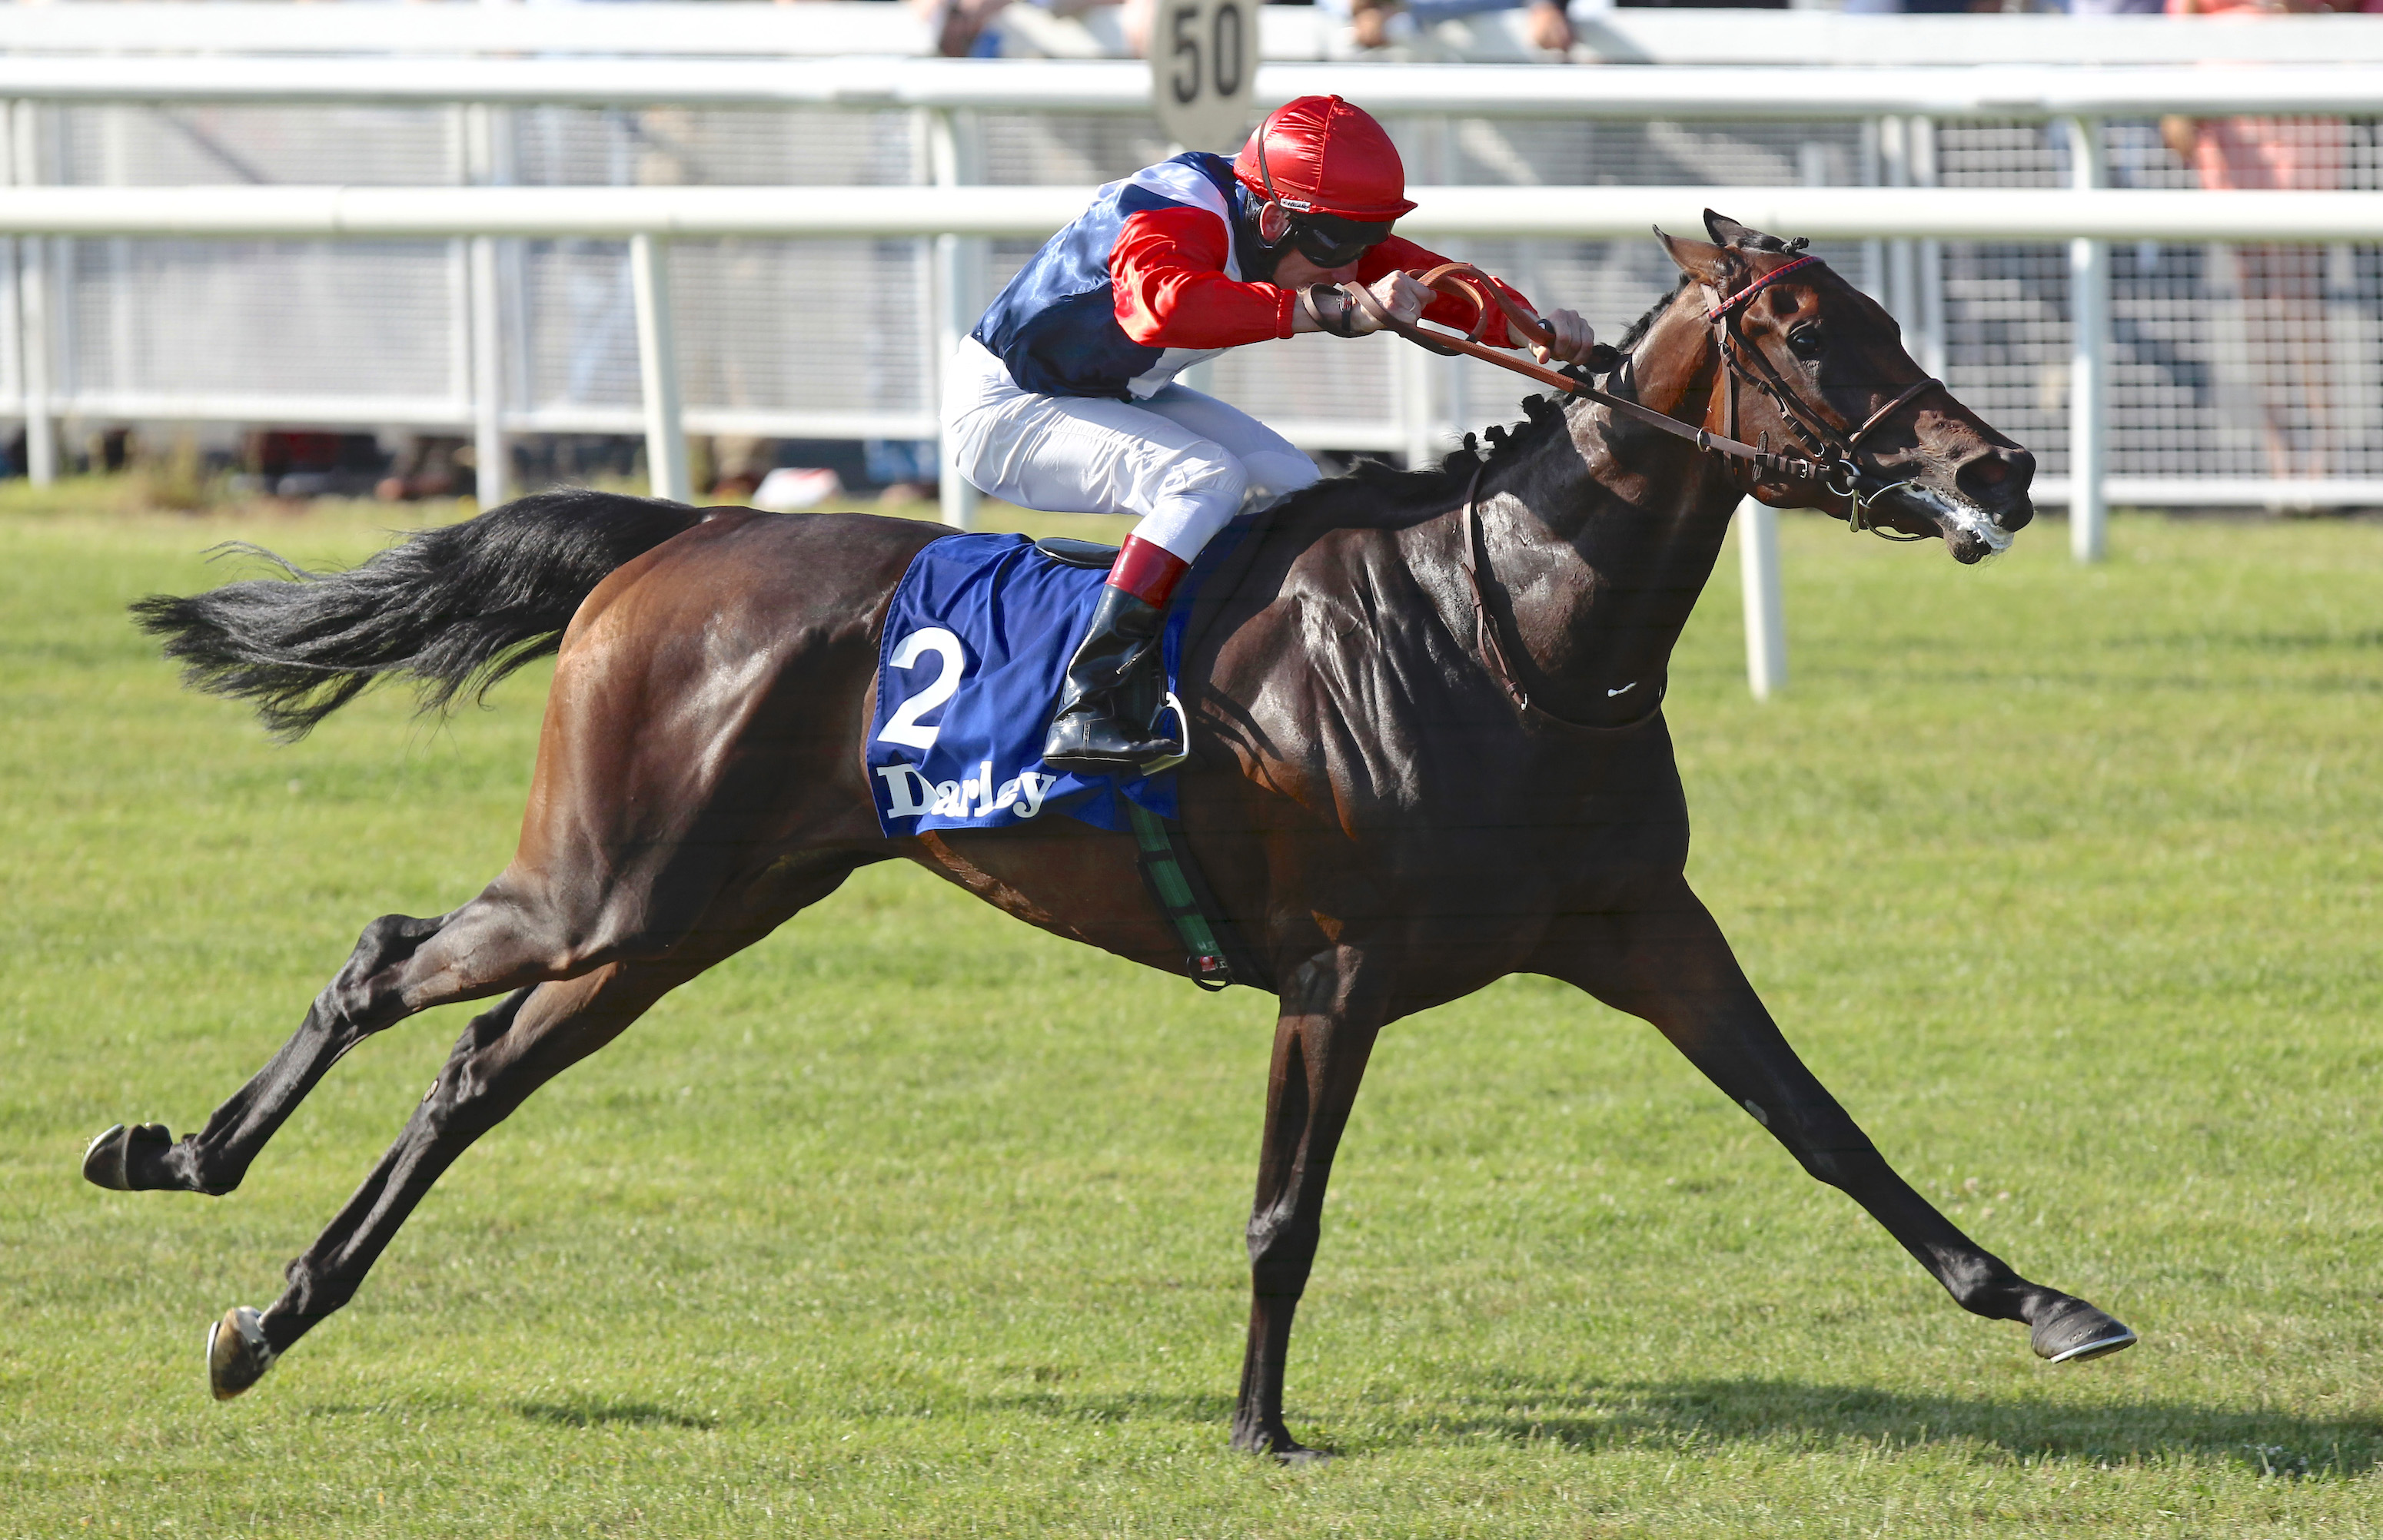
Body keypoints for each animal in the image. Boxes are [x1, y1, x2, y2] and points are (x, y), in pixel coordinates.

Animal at [88, 217, 2145, 1459]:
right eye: (1805, 330)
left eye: (1882, 313)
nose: (1997, 466)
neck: (1510, 630)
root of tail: (683, 528)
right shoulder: (1337, 971)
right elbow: (1282, 1214)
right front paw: (1258, 1424)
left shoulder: (1641, 925)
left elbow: (1824, 1129)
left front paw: (2041, 1302)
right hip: (613, 879)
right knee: (383, 959)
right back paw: (176, 1156)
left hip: (679, 919)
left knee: (471, 1076)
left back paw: (275, 1309)